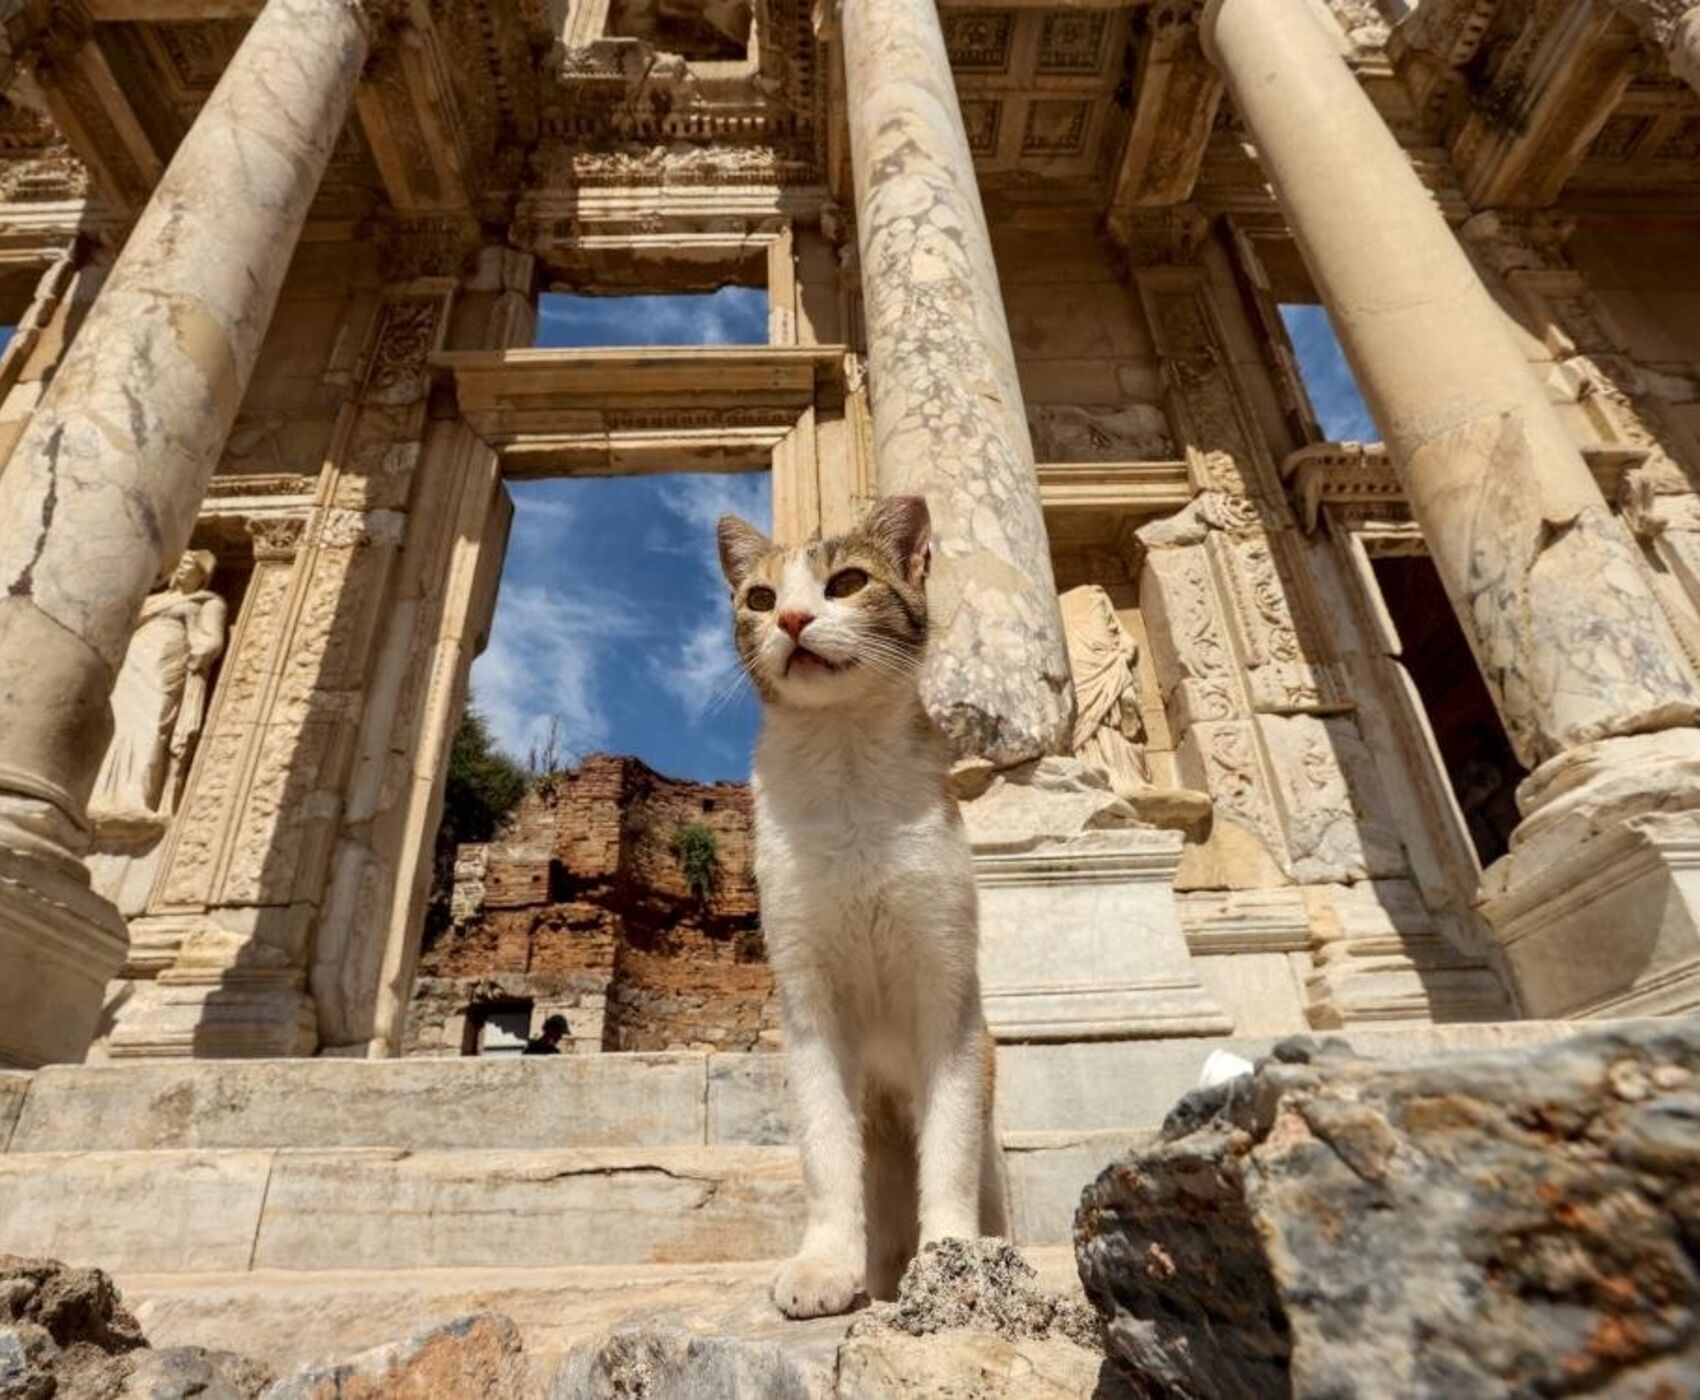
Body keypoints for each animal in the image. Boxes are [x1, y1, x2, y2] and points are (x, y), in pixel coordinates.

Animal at [710, 496, 999, 1318]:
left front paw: (953, 1260)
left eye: (846, 582)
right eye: (760, 598)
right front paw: (825, 1266)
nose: (793, 619)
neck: (845, 773)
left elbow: (951, 1147)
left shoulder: (949, 988)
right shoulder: (807, 998)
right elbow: (826, 1150)